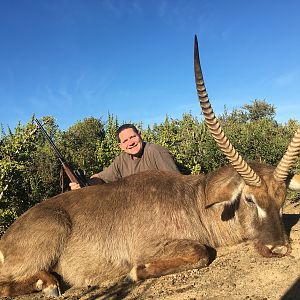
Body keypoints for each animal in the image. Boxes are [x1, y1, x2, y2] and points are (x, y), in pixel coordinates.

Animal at [0, 36, 300, 296]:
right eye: (250, 199)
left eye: (283, 198)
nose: (279, 248)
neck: (195, 200)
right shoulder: (153, 246)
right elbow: (201, 252)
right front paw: (135, 272)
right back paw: (47, 283)